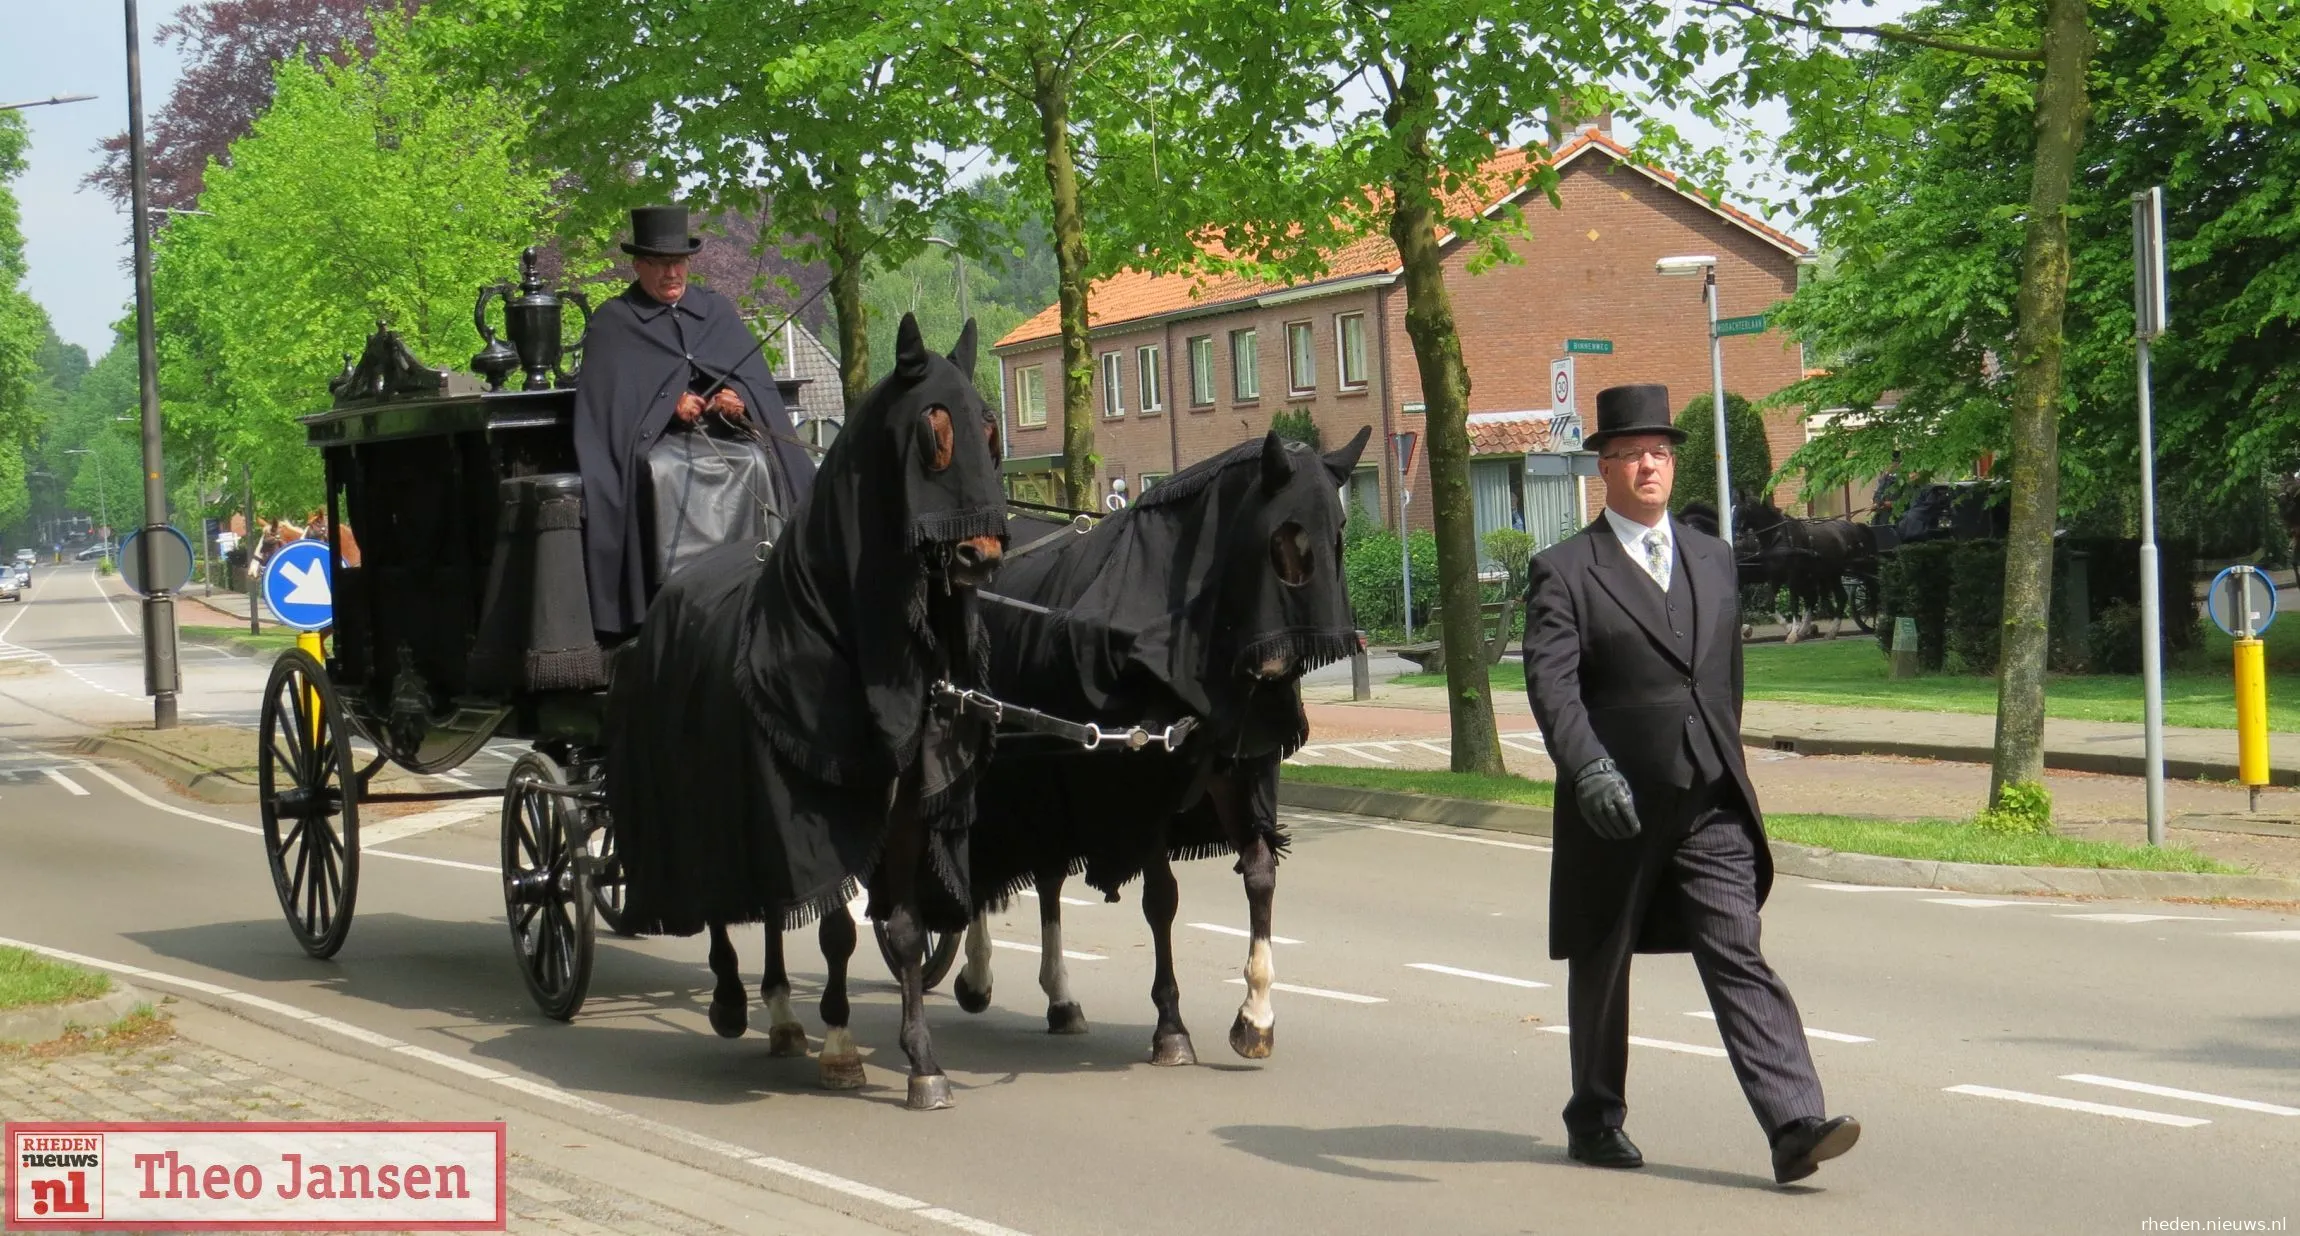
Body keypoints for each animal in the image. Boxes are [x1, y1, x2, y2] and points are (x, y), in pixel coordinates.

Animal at [602, 315, 1007, 1109]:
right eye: (933, 431)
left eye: (989, 426)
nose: (981, 554)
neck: (839, 641)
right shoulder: (809, 814)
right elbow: (836, 930)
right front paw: (843, 1047)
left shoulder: (902, 813)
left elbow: (901, 929)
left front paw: (921, 1062)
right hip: (703, 802)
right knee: (720, 898)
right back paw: (734, 1002)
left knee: (763, 904)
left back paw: (784, 1016)